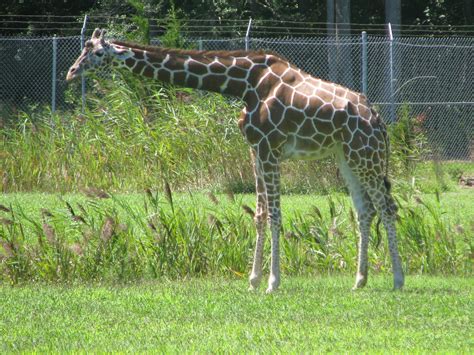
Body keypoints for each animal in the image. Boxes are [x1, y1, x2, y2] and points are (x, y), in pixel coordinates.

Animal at [66, 29, 404, 294]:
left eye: (97, 52)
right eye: (82, 49)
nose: (71, 71)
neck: (244, 84)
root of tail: (378, 120)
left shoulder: (269, 148)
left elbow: (275, 215)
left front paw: (272, 282)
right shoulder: (255, 149)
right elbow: (259, 214)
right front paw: (253, 280)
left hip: (365, 155)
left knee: (387, 206)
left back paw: (398, 279)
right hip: (346, 156)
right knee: (365, 210)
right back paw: (359, 280)